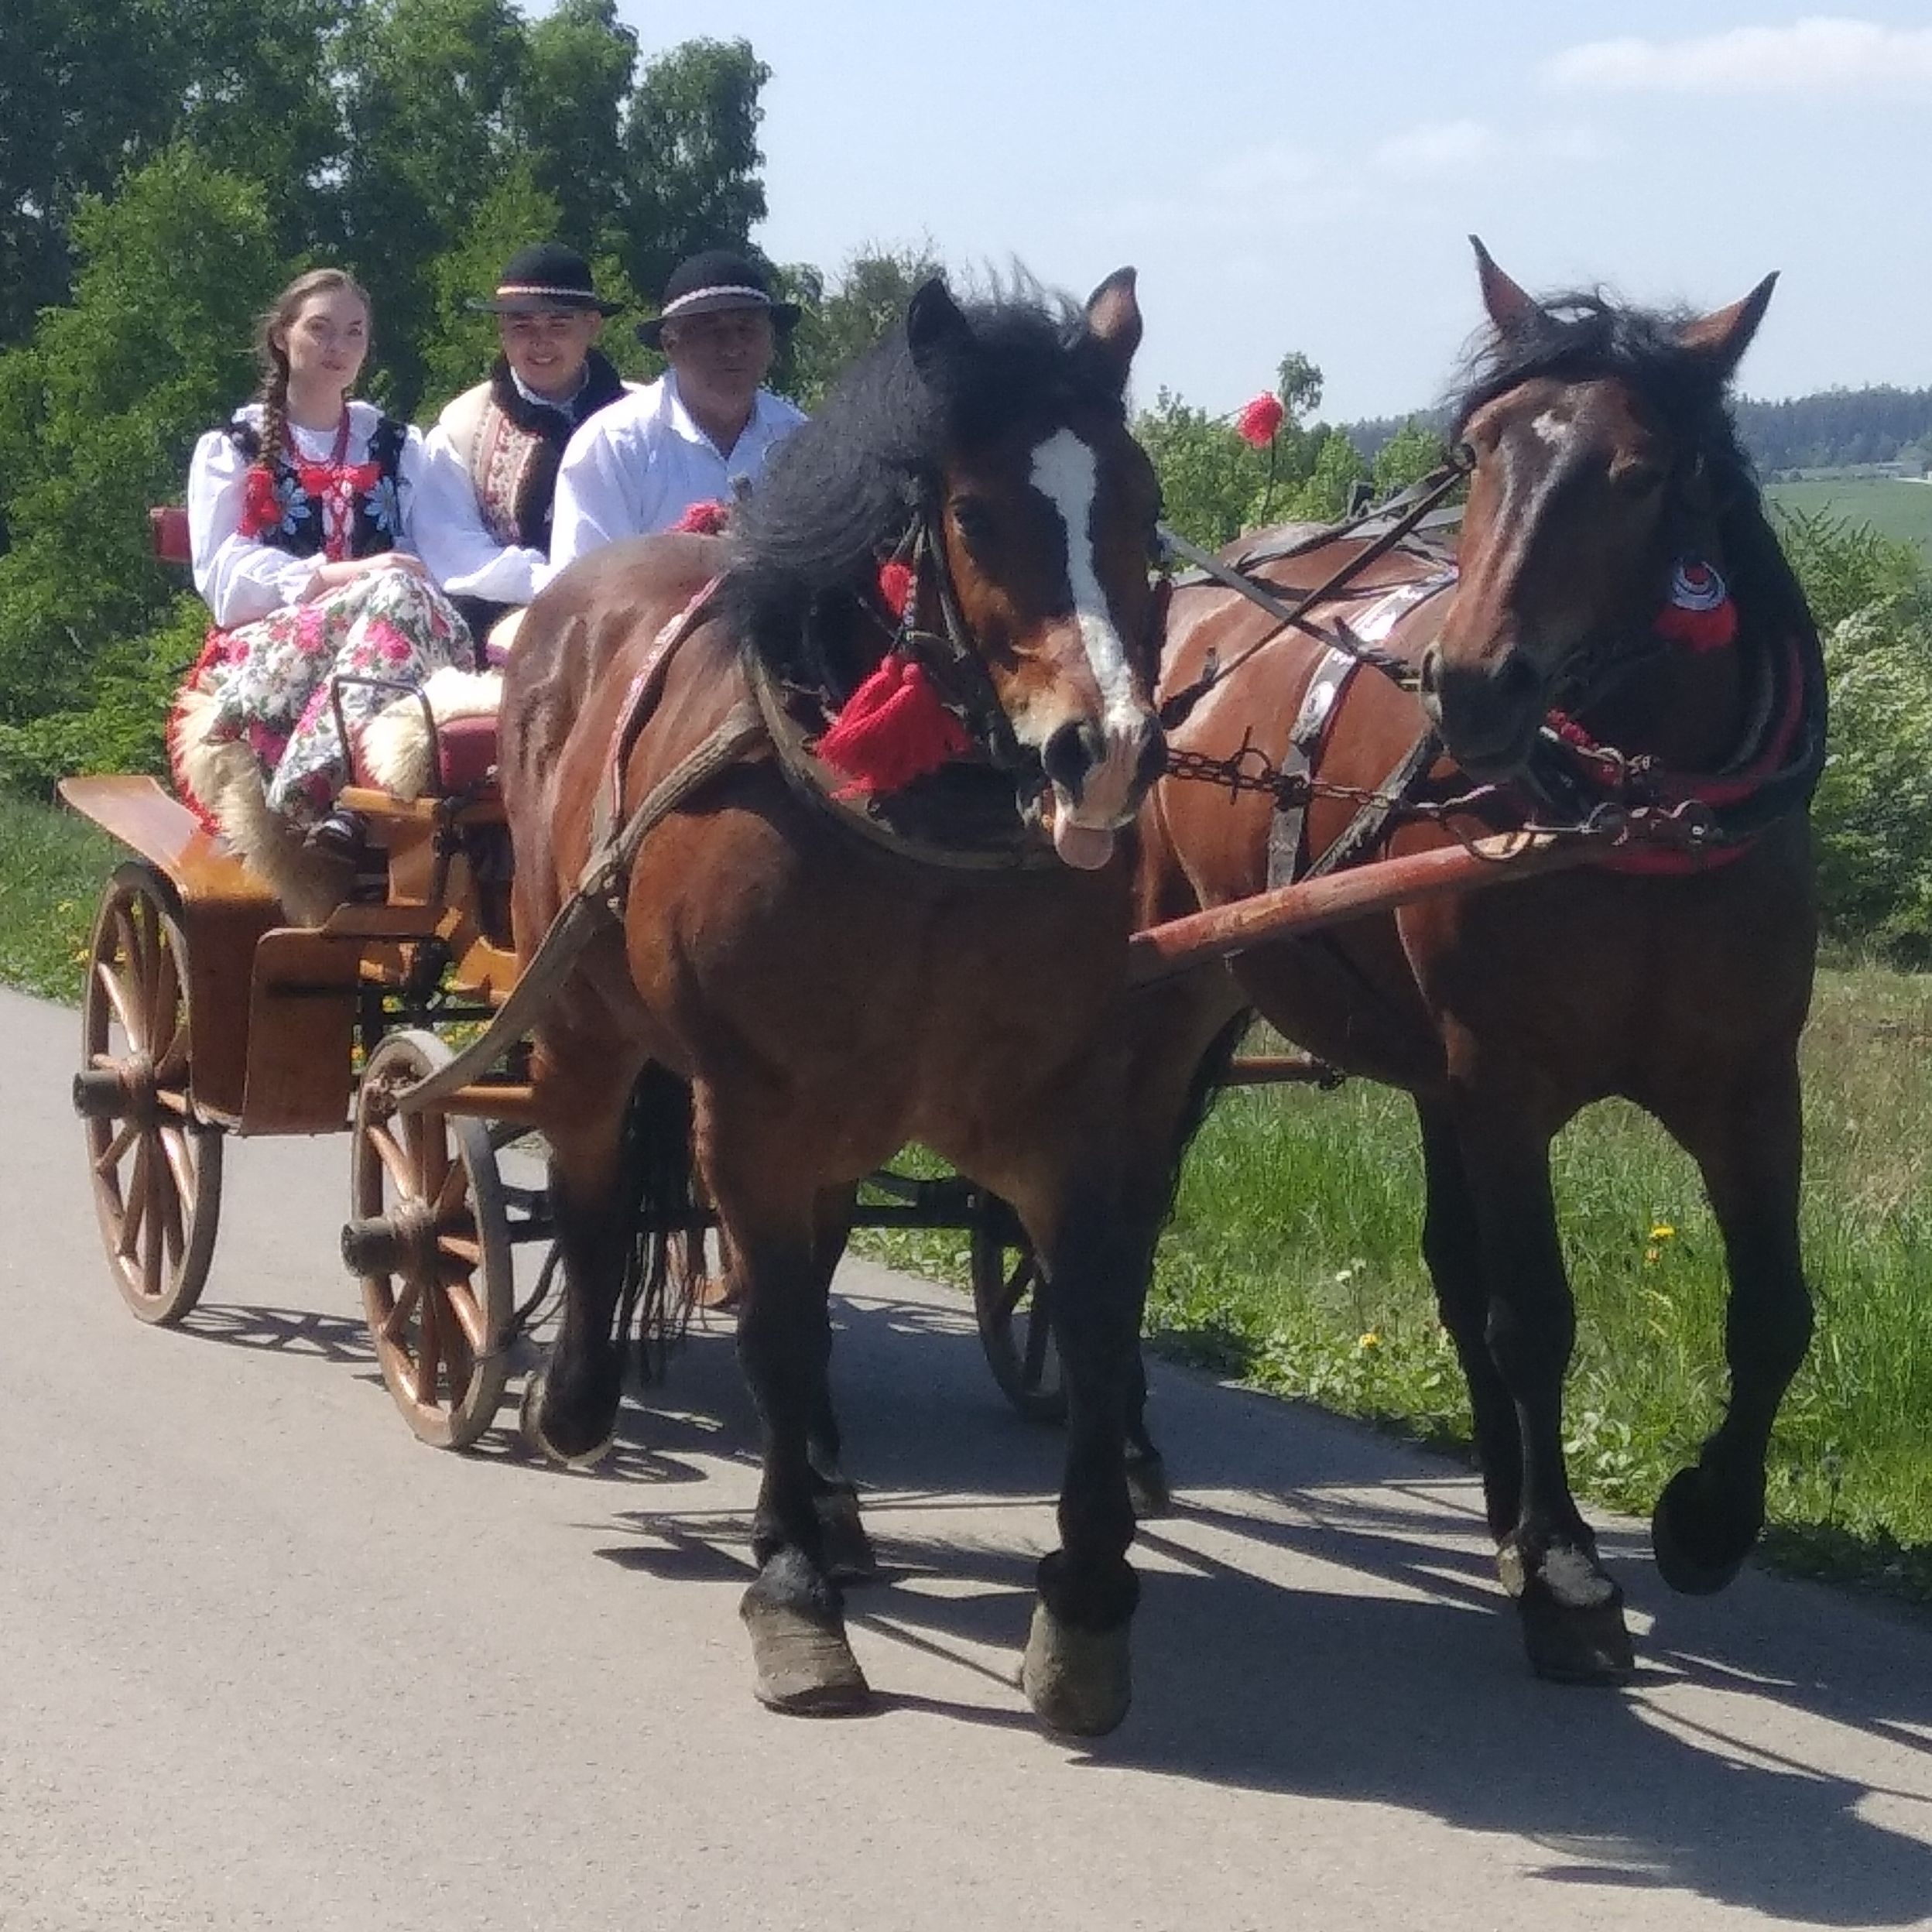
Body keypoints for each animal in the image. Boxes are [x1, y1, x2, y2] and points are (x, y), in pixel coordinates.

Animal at [498, 276, 1197, 1738]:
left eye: (1138, 501)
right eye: (976, 513)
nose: (1104, 754)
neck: (911, 825)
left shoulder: (1068, 1109)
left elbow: (1096, 1324)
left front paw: (1087, 1605)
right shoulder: (751, 1110)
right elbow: (772, 1331)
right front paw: (791, 1592)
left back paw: (829, 1492)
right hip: (582, 1017)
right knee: (592, 1195)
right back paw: (580, 1404)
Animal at [1128, 242, 1824, 1684]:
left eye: (1642, 474)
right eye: (1480, 452)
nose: (1474, 686)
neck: (1636, 819)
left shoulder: (1746, 1088)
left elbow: (1773, 1310)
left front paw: (1703, 1519)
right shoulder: (1503, 1085)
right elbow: (1532, 1316)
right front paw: (1564, 1569)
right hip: (1173, 988)